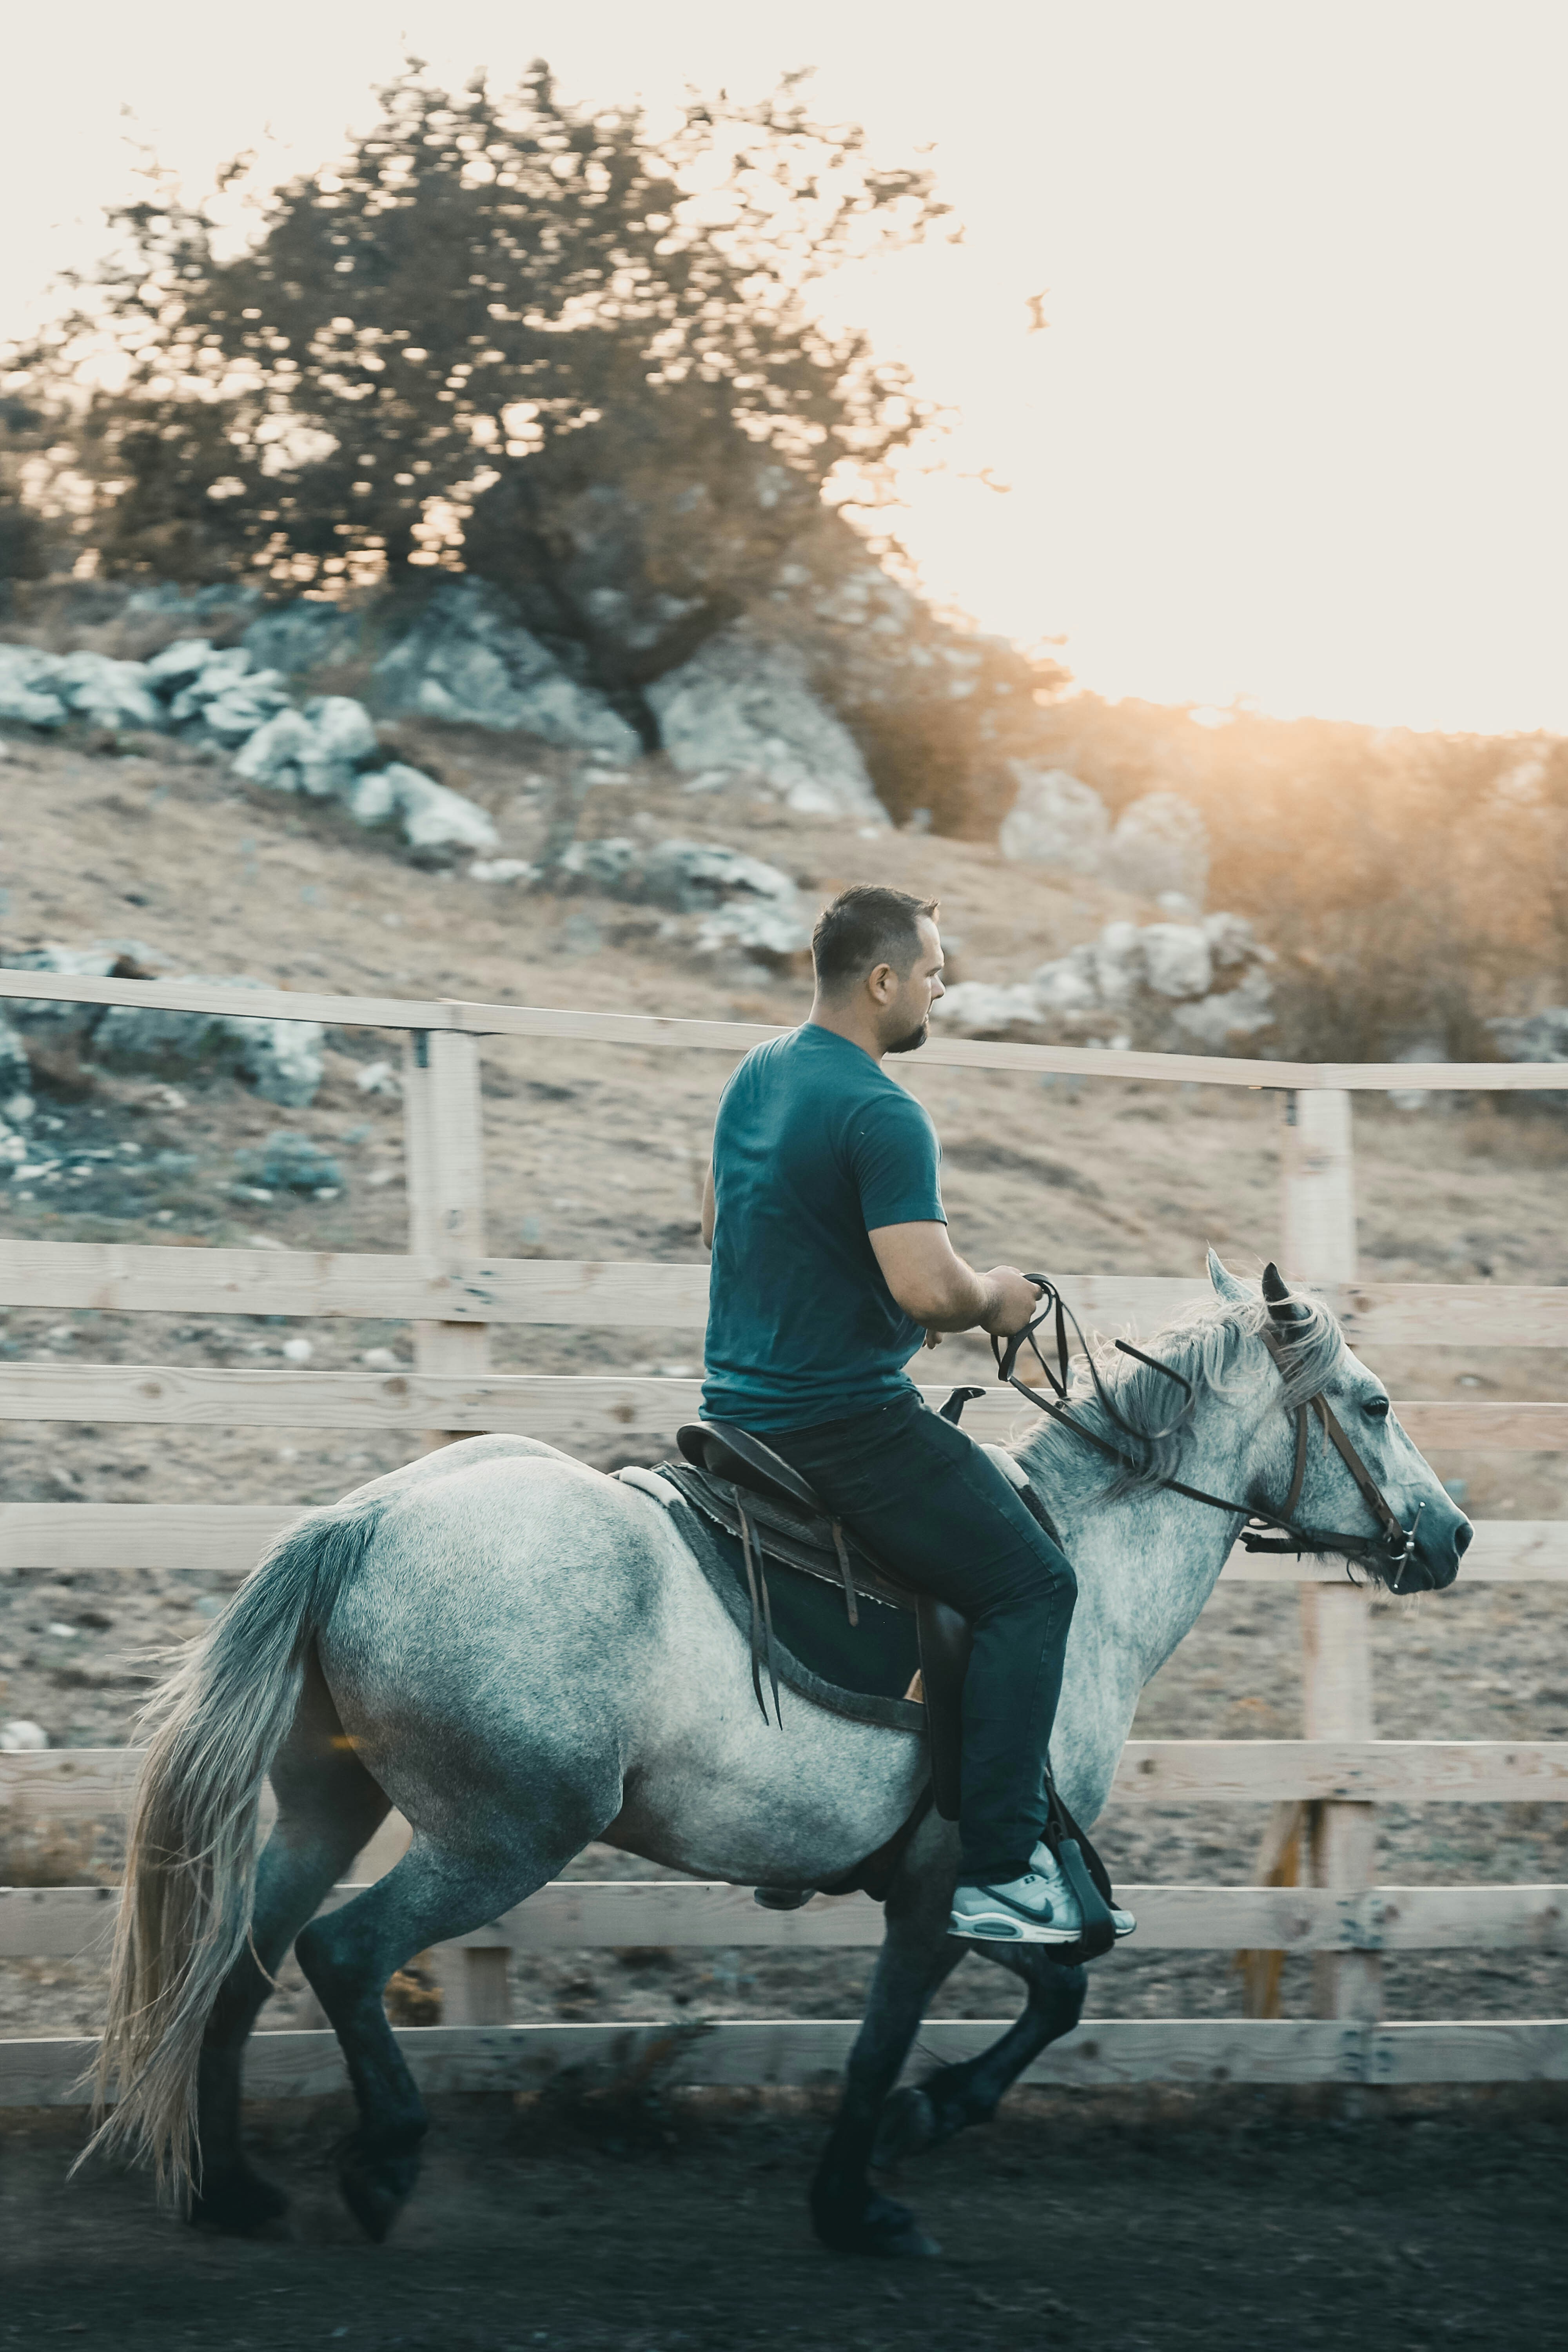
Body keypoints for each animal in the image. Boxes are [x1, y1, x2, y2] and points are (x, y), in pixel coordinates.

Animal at [87, 1252, 1470, 2258]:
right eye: (1374, 1404)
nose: (1452, 1536)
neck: (1086, 1569)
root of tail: (364, 1520)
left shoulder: (970, 1887)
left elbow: (1055, 1998)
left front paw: (925, 2121)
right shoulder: (951, 1877)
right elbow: (889, 2038)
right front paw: (861, 2195)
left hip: (332, 1805)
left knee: (241, 1964)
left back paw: (233, 2190)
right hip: (503, 1836)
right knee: (341, 1954)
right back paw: (381, 2161)